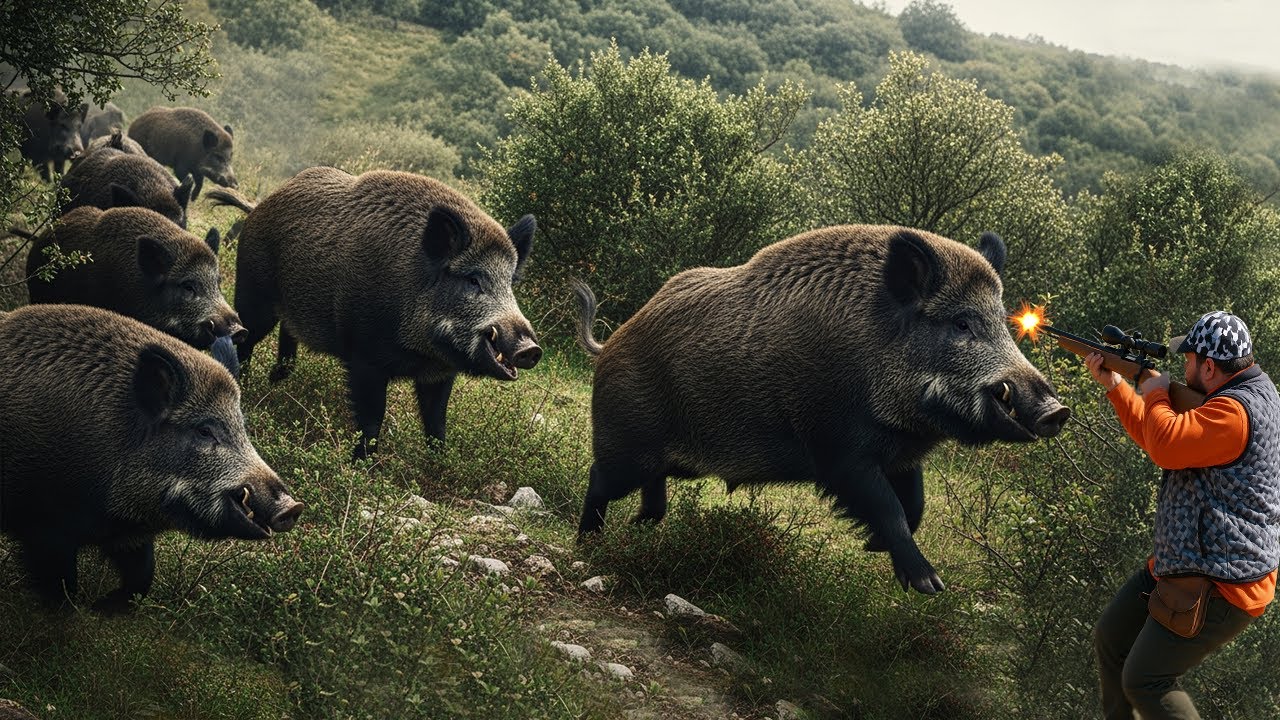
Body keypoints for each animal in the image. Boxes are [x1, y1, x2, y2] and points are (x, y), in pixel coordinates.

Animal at [0, 304, 303, 611]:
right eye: (204, 431)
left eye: (242, 426)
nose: (293, 507)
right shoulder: (43, 526)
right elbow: (61, 587)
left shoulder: (129, 535)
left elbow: (143, 575)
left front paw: (105, 607)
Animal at [207, 168, 542, 459]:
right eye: (473, 279)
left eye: (510, 282)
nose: (531, 349)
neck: (422, 351)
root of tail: (259, 205)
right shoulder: (364, 358)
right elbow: (371, 419)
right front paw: (362, 466)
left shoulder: (440, 375)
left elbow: (436, 425)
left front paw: (439, 463)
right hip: (253, 293)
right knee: (245, 340)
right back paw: (246, 386)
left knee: (287, 338)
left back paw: (276, 379)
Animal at [572, 226, 1071, 595]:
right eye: (961, 323)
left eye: (1001, 321)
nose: (1056, 410)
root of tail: (609, 343)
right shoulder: (837, 451)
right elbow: (889, 508)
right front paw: (929, 585)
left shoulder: (900, 455)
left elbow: (915, 506)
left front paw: (873, 549)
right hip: (625, 443)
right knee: (599, 479)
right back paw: (588, 545)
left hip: (666, 459)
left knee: (653, 500)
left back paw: (637, 531)